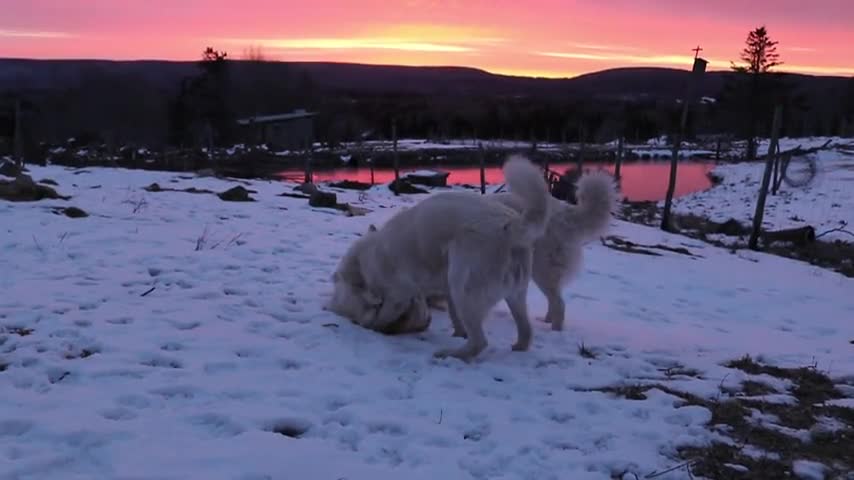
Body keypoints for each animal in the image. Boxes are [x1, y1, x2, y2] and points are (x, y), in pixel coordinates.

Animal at [324, 156, 552, 362]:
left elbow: (381, 318)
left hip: (464, 289)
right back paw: (517, 348)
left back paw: (450, 354)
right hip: (513, 295)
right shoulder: (445, 292)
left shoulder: (398, 296)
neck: (365, 261)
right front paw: (458, 333)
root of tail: (509, 227)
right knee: (525, 332)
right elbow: (454, 317)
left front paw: (374, 327)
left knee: (479, 342)